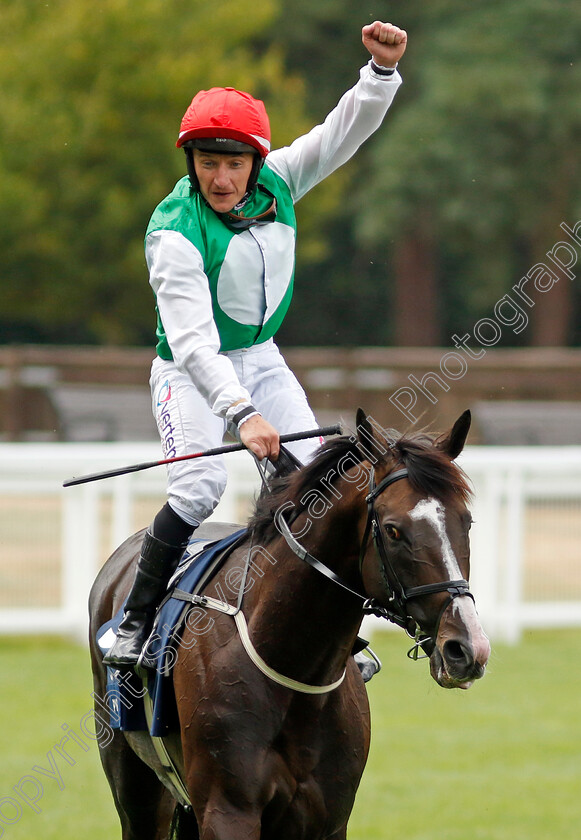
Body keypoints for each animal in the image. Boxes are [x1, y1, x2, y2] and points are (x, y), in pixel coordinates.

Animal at [89, 410, 490, 836]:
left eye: (467, 522)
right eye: (394, 529)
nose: (467, 648)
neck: (293, 665)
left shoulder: (328, 817)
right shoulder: (227, 810)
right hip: (135, 787)